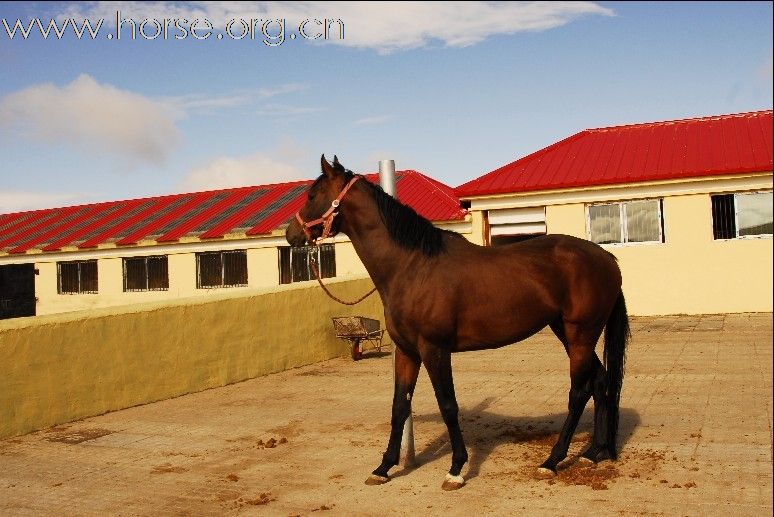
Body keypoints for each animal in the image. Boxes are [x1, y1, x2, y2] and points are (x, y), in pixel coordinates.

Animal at [286, 155, 632, 490]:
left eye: (312, 195)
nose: (291, 234)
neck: (412, 266)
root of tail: (607, 259)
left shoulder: (435, 350)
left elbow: (448, 405)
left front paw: (456, 469)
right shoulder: (407, 352)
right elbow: (399, 407)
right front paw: (383, 468)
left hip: (580, 335)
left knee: (579, 392)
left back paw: (552, 460)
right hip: (568, 333)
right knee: (600, 383)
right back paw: (593, 453)